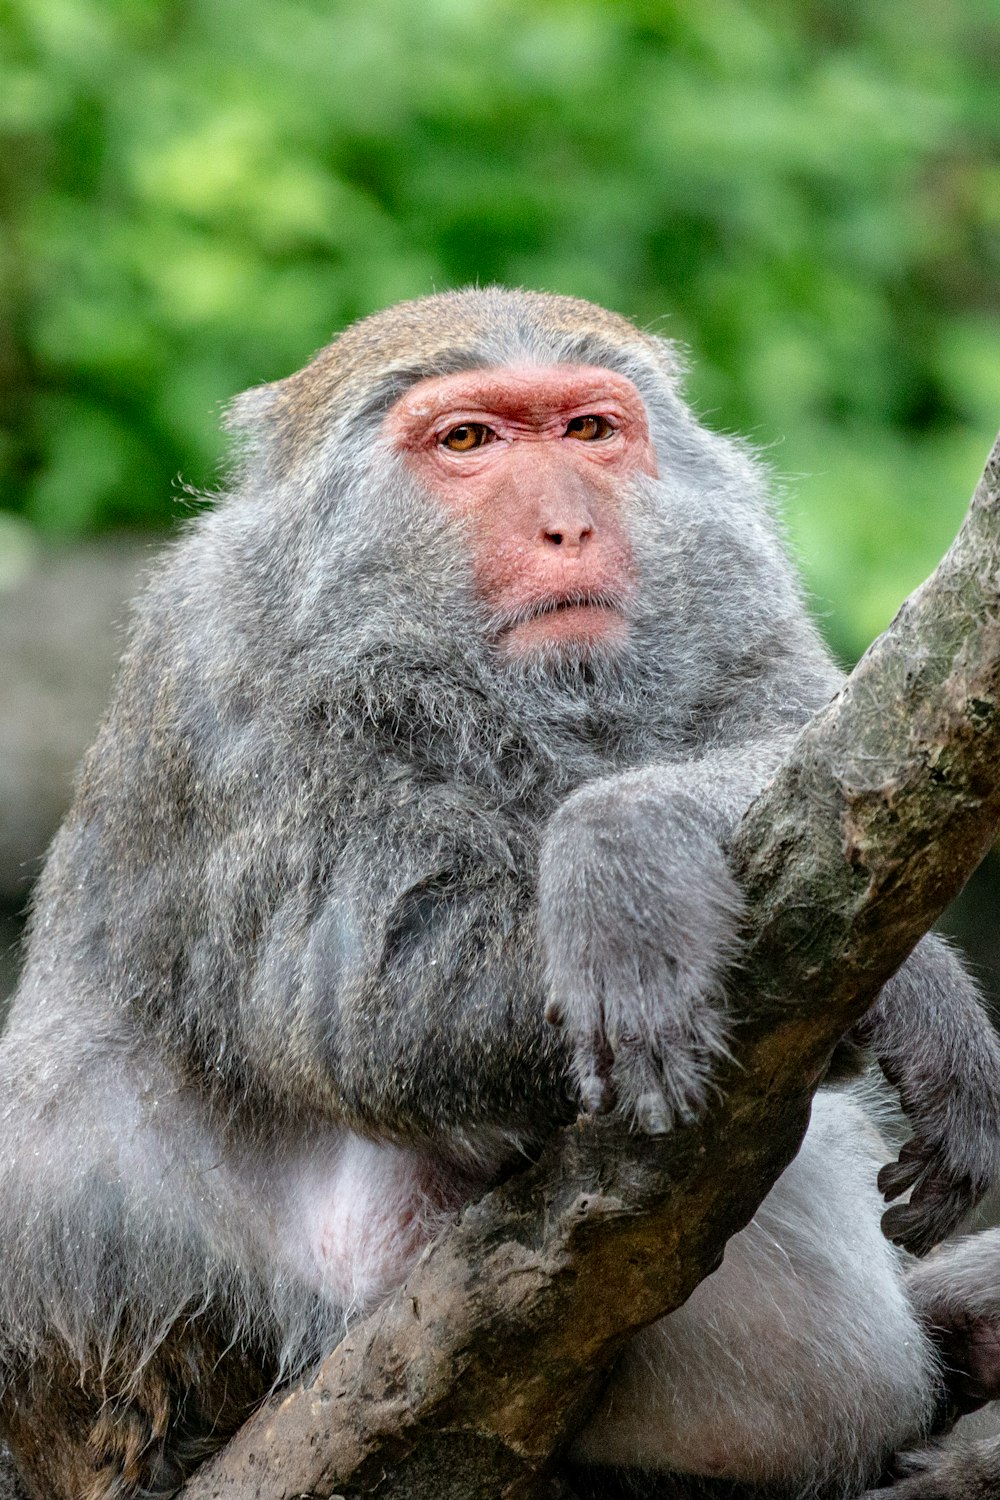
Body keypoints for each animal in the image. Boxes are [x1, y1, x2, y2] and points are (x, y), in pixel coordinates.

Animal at [1, 283, 1000, 1500]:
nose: (567, 526)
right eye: (469, 442)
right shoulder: (242, 703)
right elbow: (378, 1005)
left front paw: (624, 828)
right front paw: (630, 857)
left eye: (589, 431)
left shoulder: (746, 627)